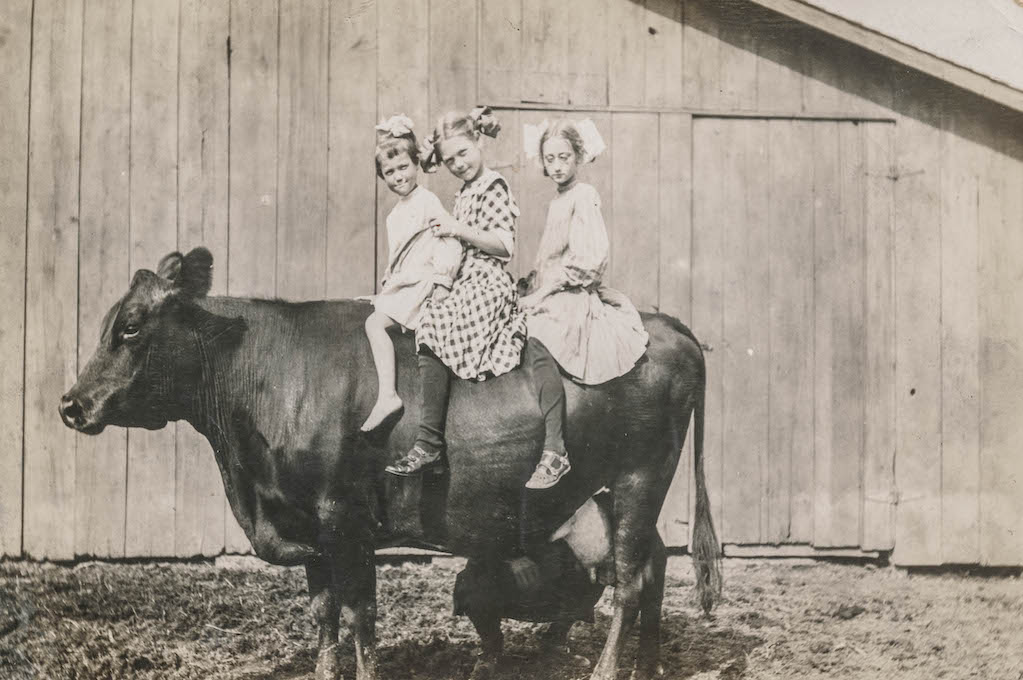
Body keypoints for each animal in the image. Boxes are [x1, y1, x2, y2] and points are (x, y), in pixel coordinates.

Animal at [59, 248, 724, 678]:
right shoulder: (307, 523)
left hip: (640, 477)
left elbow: (361, 615)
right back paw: (649, 668)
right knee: (655, 564)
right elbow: (324, 611)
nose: (71, 404)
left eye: (130, 327)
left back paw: (609, 670)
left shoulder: (344, 516)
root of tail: (668, 324)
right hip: (619, 489)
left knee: (630, 579)